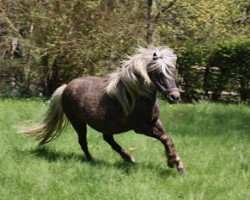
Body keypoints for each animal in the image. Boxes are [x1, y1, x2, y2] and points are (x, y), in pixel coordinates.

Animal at [22, 46, 186, 173]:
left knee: (108, 140)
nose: (175, 97)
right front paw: (173, 163)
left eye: (173, 71)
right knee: (83, 141)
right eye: (159, 73)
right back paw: (92, 160)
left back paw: (129, 158)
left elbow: (168, 139)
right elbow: (165, 138)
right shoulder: (141, 128)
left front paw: (178, 164)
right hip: (78, 123)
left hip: (105, 125)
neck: (136, 96)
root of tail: (65, 87)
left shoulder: (155, 122)